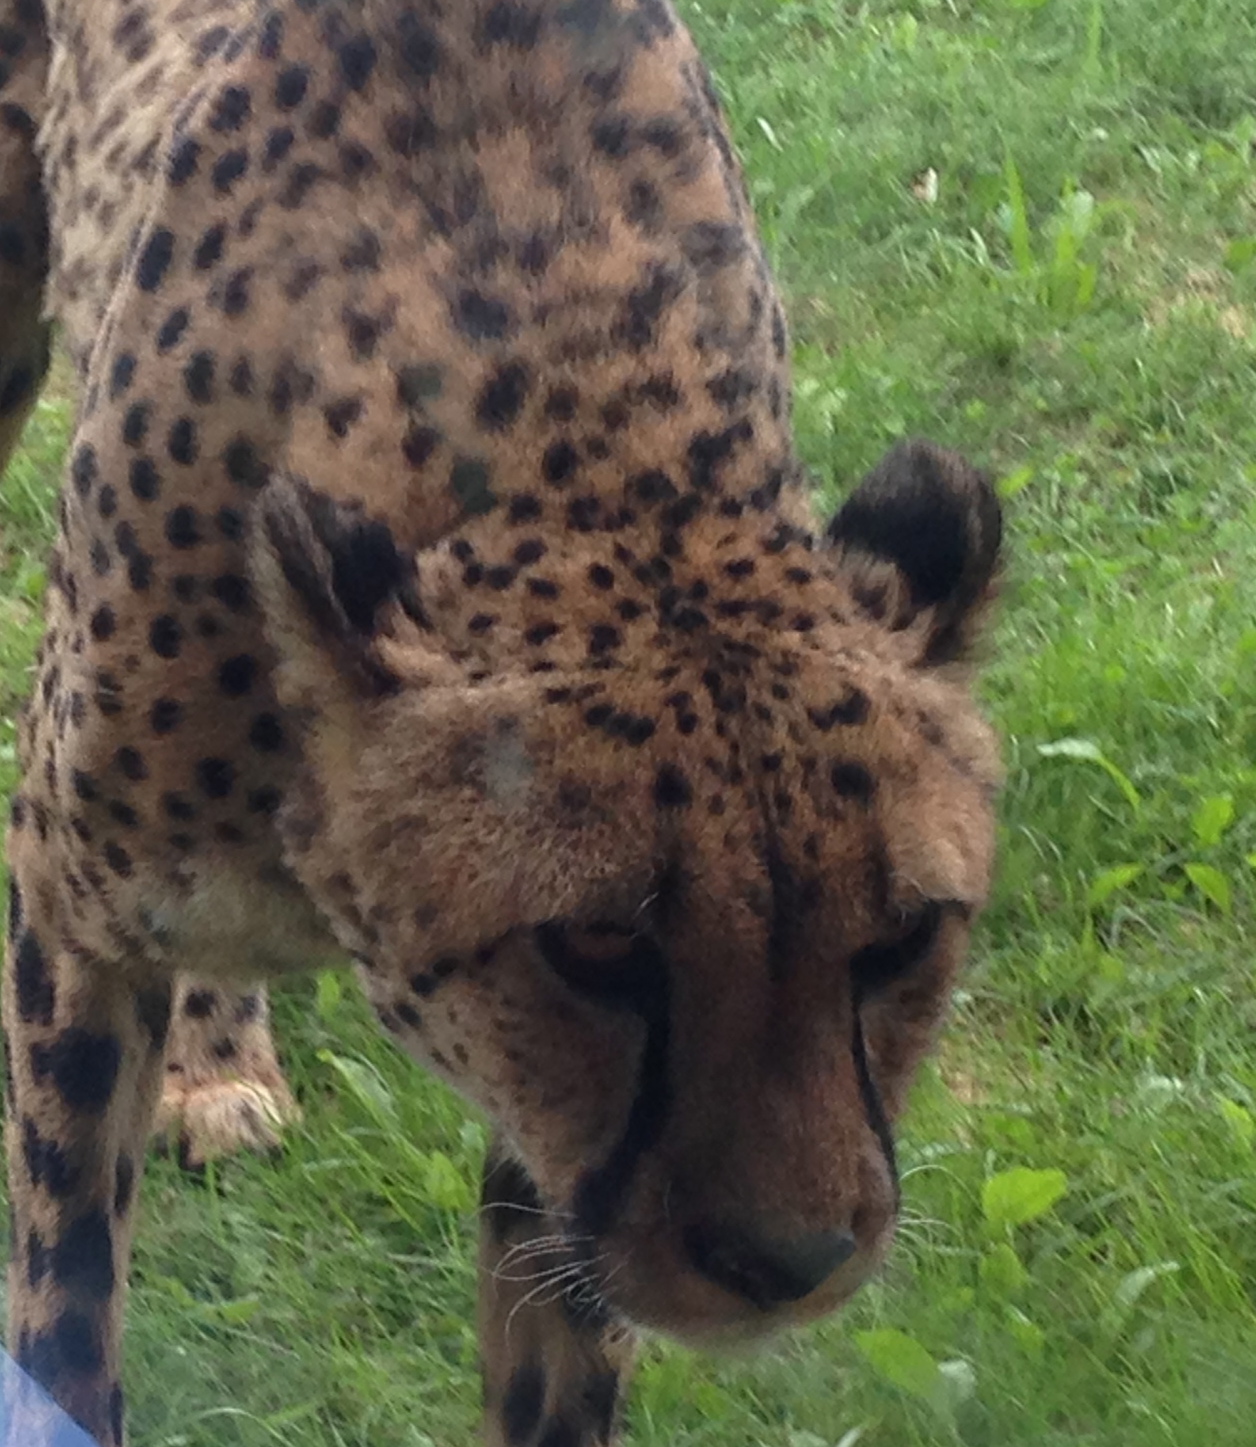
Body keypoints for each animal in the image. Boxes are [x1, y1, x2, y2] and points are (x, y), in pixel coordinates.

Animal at [0, 1, 1004, 1444]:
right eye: (594, 944)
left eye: (906, 934)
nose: (790, 1257)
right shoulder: (65, 909)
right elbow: (65, 1312)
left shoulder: (552, 1160)